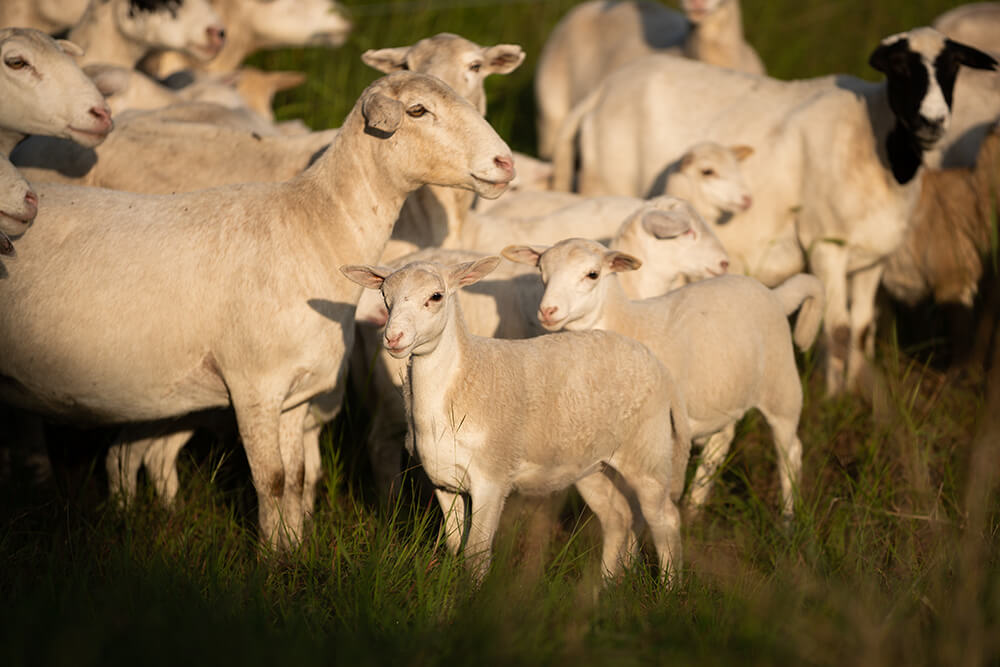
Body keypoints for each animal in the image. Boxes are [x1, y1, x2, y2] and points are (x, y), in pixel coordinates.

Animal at [0, 71, 514, 548]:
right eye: (418, 111)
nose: (505, 163)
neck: (317, 228)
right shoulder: (253, 385)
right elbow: (271, 481)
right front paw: (270, 560)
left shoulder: (295, 394)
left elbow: (295, 479)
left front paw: (293, 551)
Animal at [341, 256, 689, 580]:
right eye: (385, 296)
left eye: (436, 296)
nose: (393, 338)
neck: (463, 378)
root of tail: (660, 369)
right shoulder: (444, 482)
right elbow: (455, 546)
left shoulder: (492, 478)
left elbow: (476, 554)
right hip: (592, 464)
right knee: (618, 519)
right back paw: (603, 588)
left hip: (647, 453)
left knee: (665, 519)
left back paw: (668, 588)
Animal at [503, 238, 824, 519]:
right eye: (541, 272)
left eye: (592, 274)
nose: (548, 311)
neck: (628, 324)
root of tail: (774, 294)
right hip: (726, 393)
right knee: (719, 445)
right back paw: (694, 508)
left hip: (781, 387)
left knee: (790, 452)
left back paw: (787, 519)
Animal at [552, 28, 998, 395]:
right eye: (902, 68)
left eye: (952, 67)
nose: (933, 122)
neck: (877, 142)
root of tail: (600, 93)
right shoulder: (825, 244)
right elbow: (837, 330)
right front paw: (835, 399)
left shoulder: (874, 255)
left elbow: (860, 329)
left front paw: (861, 393)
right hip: (603, 183)